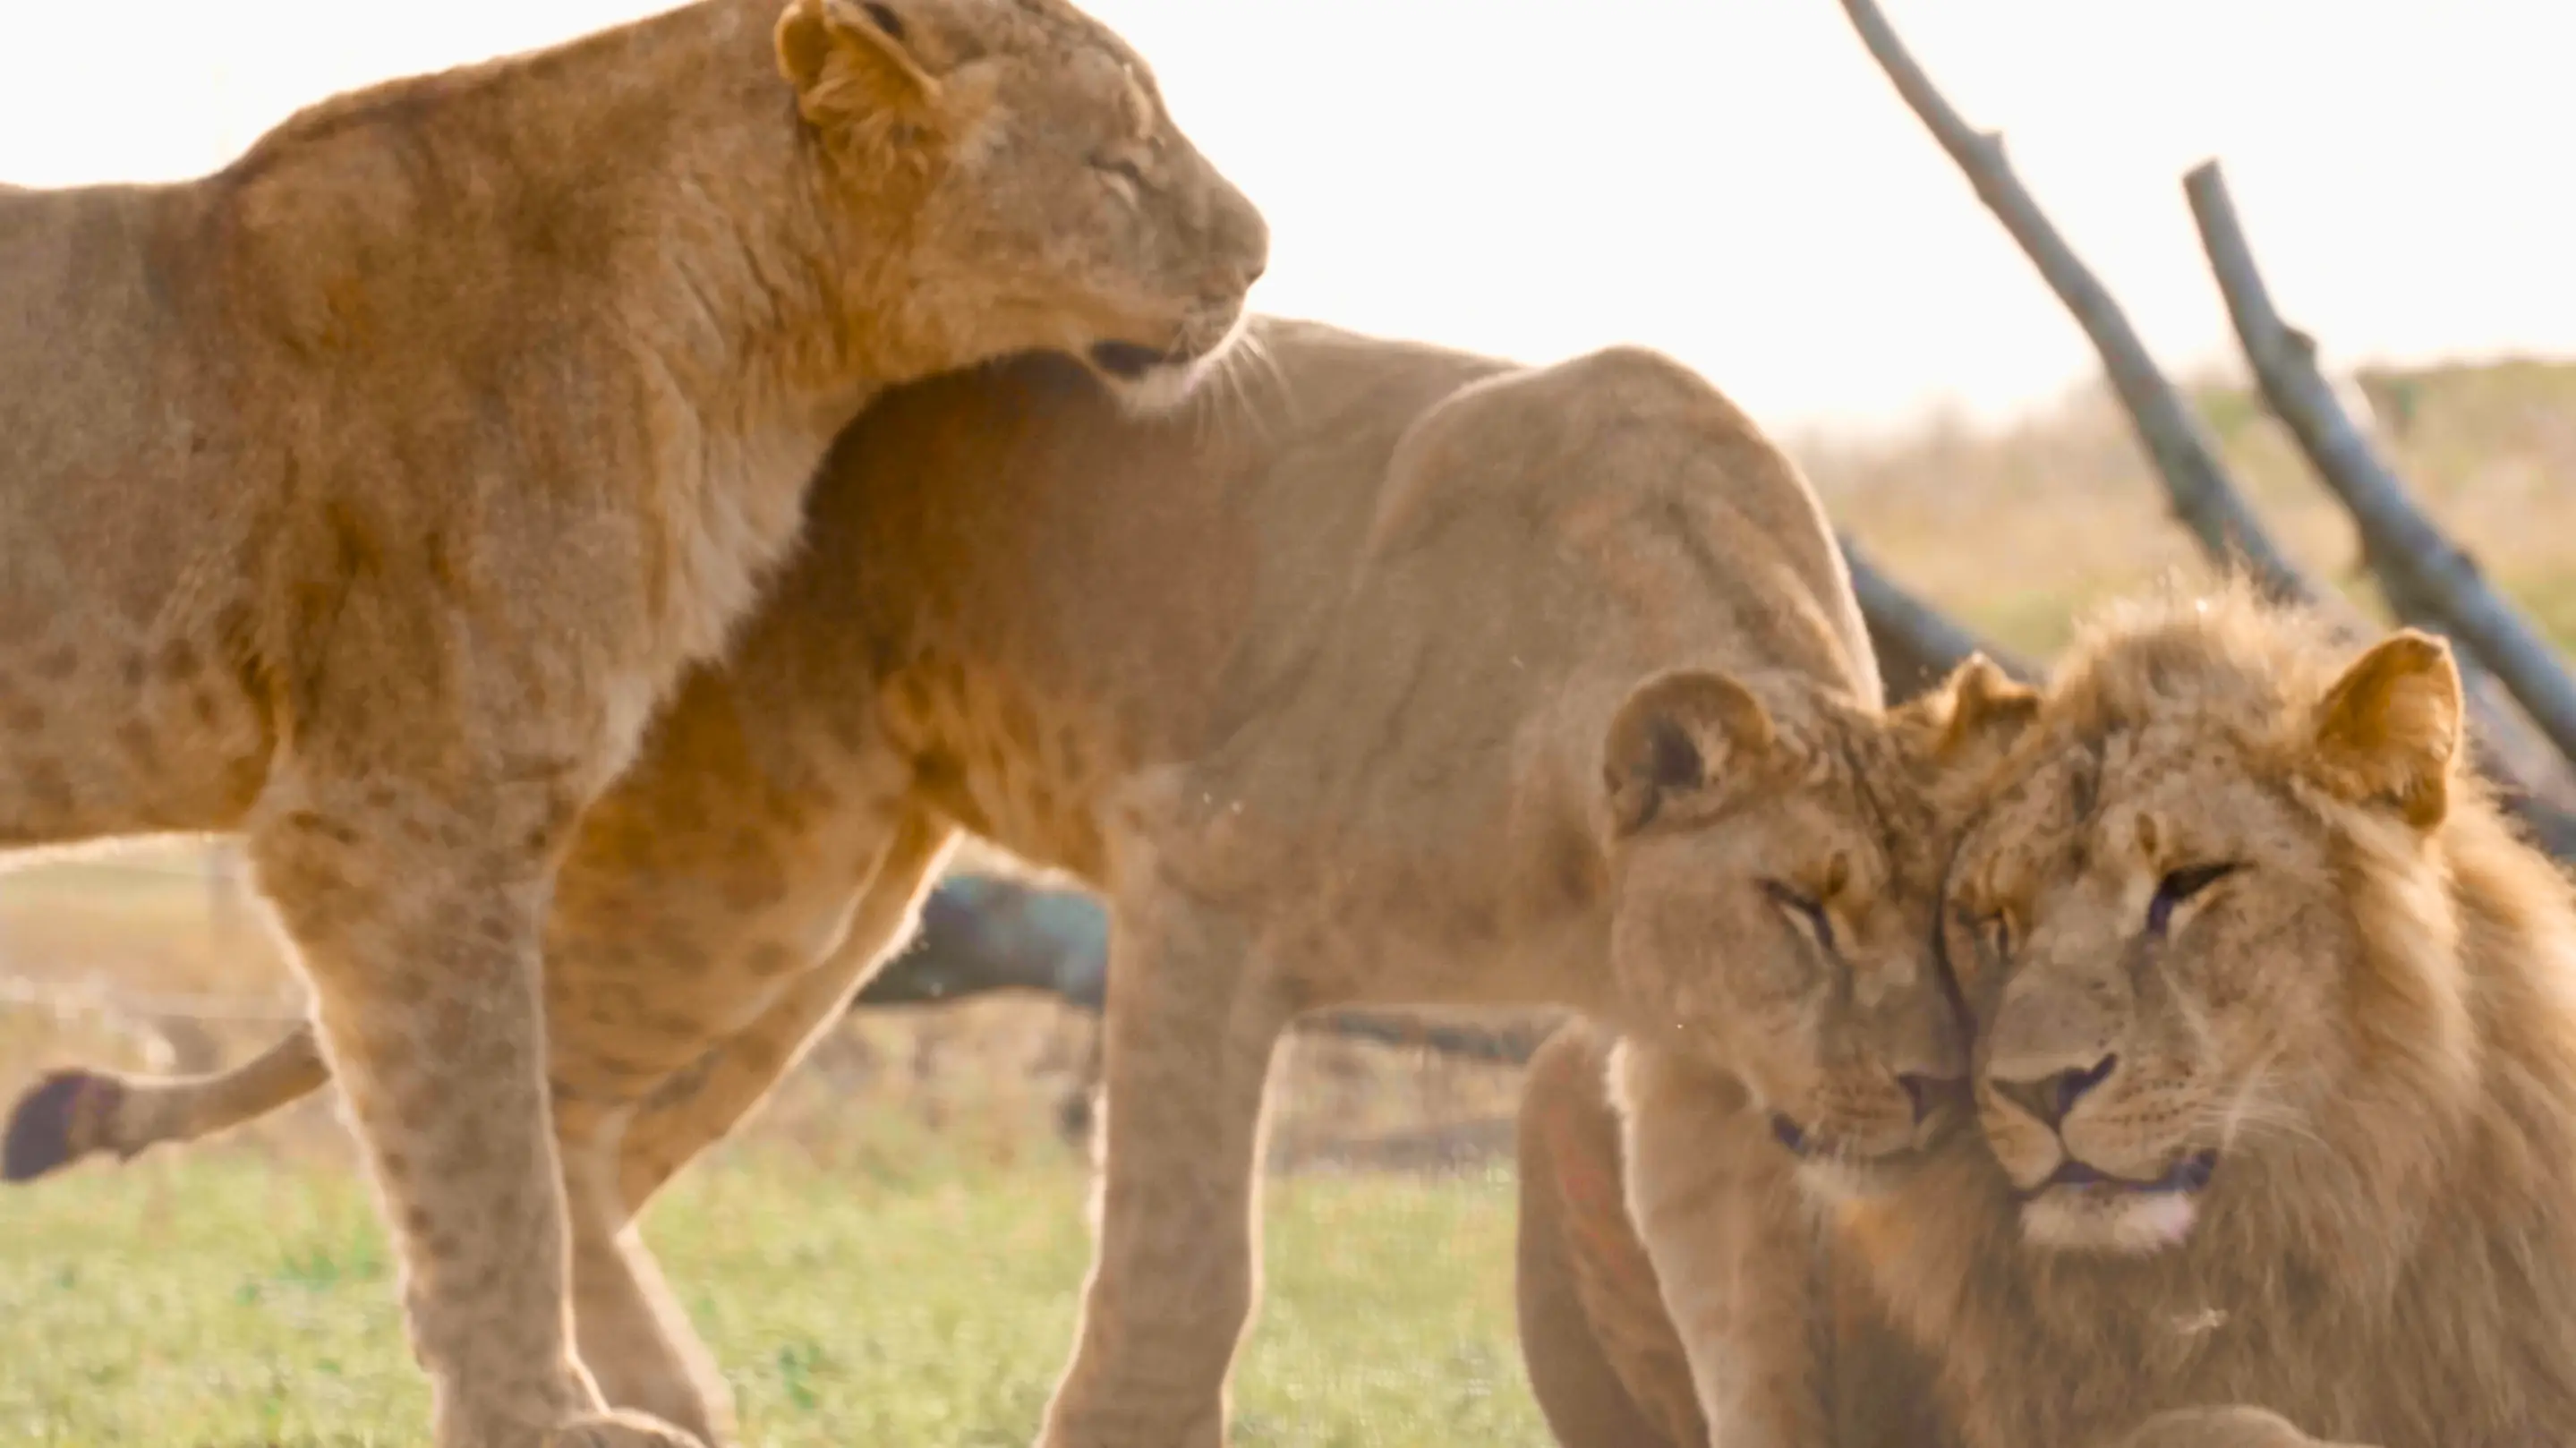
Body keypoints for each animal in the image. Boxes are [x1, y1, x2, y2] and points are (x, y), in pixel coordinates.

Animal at [0, 0, 1262, 1441]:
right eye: (1117, 163)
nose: (1265, 254)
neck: (755, 357)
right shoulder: (401, 824)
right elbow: (488, 1166)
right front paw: (545, 1417)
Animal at [7, 318, 1984, 1447]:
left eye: (1963, 922)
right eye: (1797, 907)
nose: (1919, 1087)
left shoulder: (1698, 1078)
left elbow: (1759, 1332)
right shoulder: (1201, 875)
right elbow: (1182, 1266)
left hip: (833, 919)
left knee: (587, 1145)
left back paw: (661, 1396)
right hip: (750, 861)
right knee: (514, 1113)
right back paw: (632, 1403)